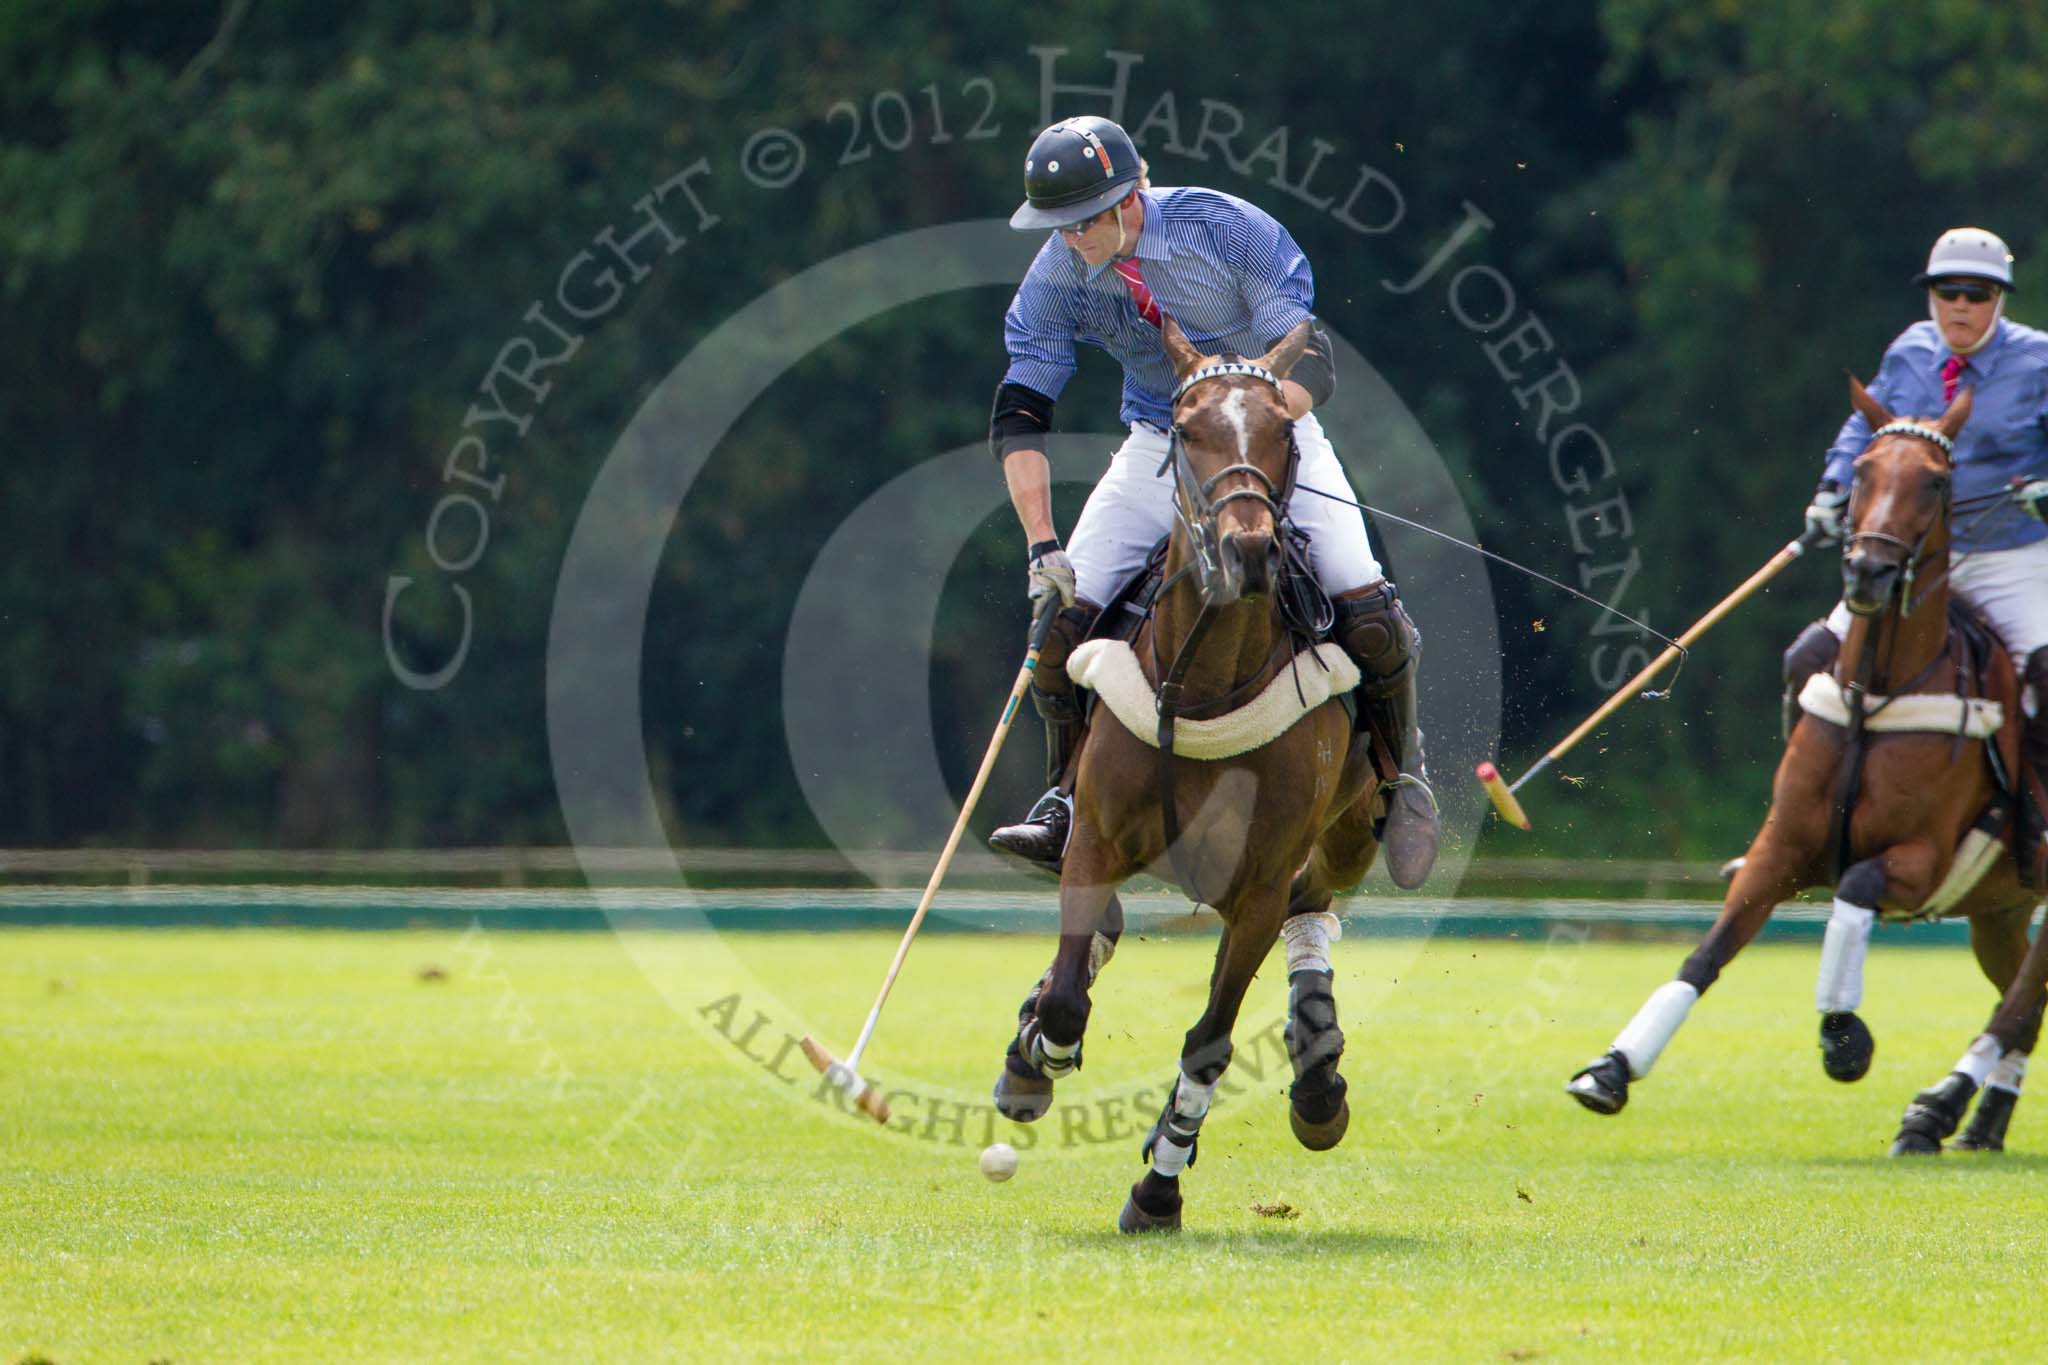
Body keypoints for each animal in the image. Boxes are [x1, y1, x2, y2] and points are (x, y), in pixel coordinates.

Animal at [987, 317, 1392, 1227]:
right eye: (1186, 429)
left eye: (1284, 433)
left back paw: (1318, 1075)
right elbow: (1066, 997)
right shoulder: (1097, 841)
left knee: (1314, 902)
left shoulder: (1258, 885)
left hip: (1351, 830)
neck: (1206, 681)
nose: (1248, 549)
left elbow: (1209, 1040)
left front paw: (1158, 1188)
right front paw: (1036, 1050)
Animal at [1564, 376, 2031, 1154]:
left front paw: (1844, 1037)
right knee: (2026, 988)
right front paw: (1612, 1069)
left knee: (2020, 1001)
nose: (1868, 571)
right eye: (1863, 472)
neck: (1875, 693)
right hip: (1999, 905)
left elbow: (1857, 884)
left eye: (1938, 481)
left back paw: (1935, 1109)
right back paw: (1981, 1120)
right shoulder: (1779, 847)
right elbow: (1707, 953)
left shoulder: (1925, 857)